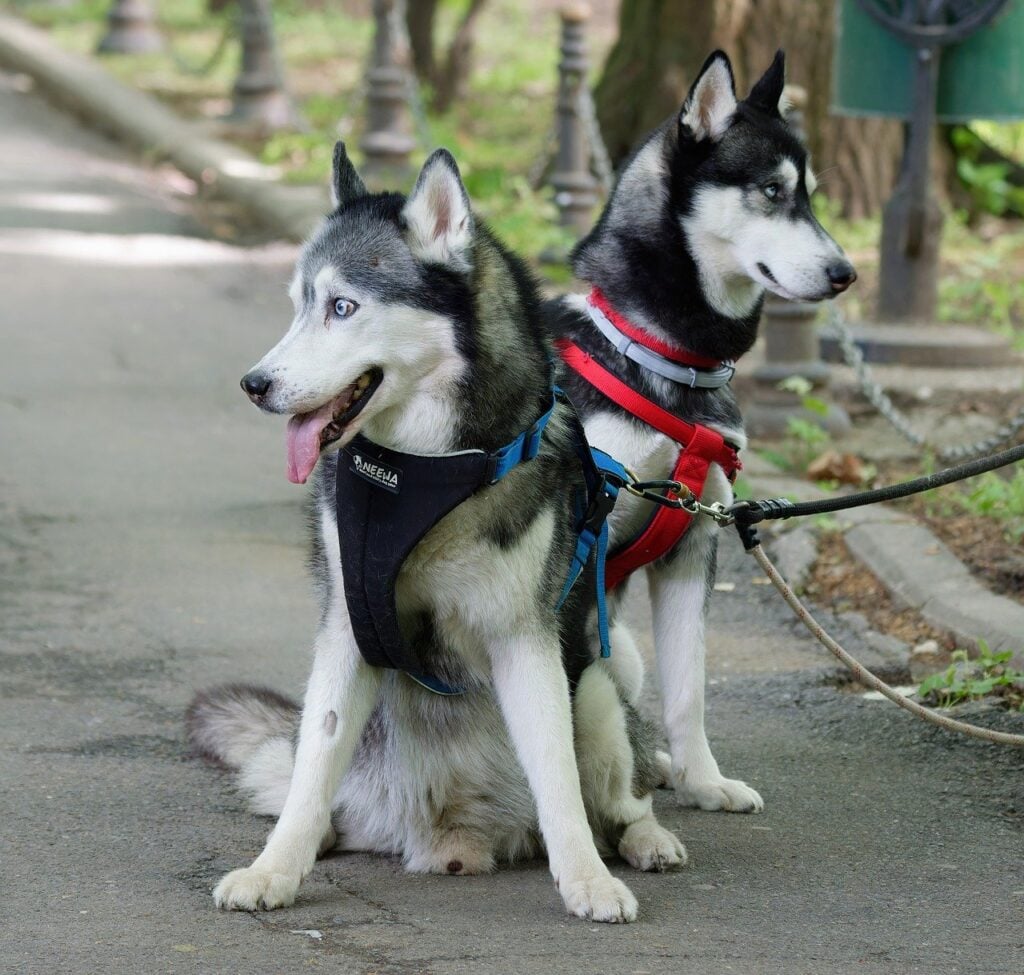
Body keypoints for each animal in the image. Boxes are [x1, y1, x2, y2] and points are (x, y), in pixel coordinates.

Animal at [190, 144, 688, 921]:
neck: (427, 472)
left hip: (599, 689)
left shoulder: (525, 639)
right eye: (298, 304)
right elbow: (312, 766)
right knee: (309, 778)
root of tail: (459, 833)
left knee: (619, 797)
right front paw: (274, 870)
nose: (255, 385)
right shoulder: (347, 628)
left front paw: (586, 880)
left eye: (342, 307)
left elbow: (559, 778)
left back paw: (644, 839)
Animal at [544, 51, 856, 815]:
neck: (671, 358)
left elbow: (689, 689)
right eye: (772, 191)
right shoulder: (577, 543)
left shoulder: (693, 541)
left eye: (811, 197)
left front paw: (702, 780)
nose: (846, 272)